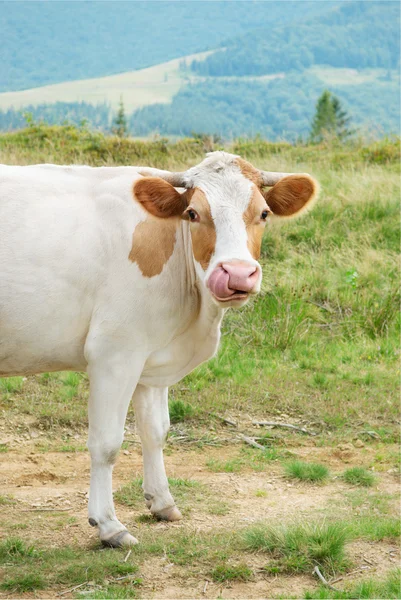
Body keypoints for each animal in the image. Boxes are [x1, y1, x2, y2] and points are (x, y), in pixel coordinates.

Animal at [0, 151, 318, 548]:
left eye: (263, 213)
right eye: (193, 213)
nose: (236, 274)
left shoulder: (152, 360)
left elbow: (156, 431)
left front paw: (162, 501)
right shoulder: (114, 353)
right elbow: (106, 443)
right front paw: (109, 525)